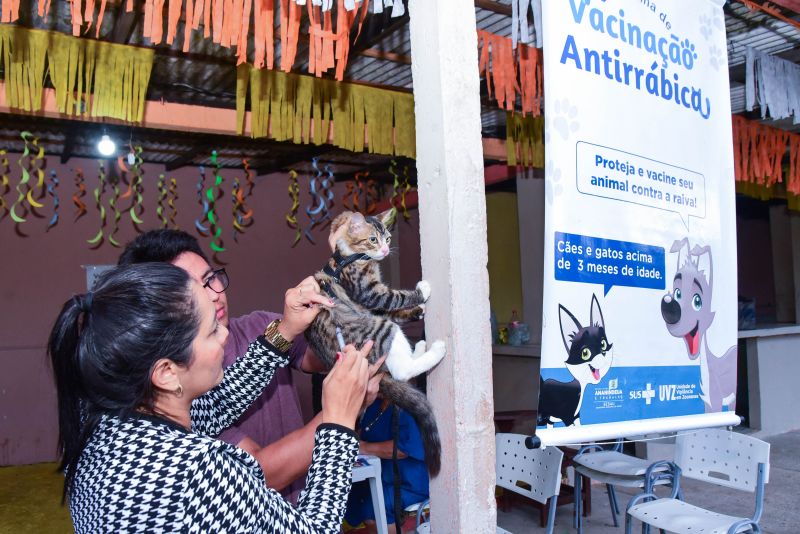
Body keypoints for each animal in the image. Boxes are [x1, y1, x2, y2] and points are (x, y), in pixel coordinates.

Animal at [304, 209, 446, 478]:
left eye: (387, 238)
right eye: (372, 240)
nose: (385, 249)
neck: (352, 256)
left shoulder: (371, 305)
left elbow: (395, 309)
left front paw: (416, 311)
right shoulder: (367, 292)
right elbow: (396, 296)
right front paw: (421, 292)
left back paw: (420, 347)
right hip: (377, 329)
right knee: (402, 370)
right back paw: (434, 350)